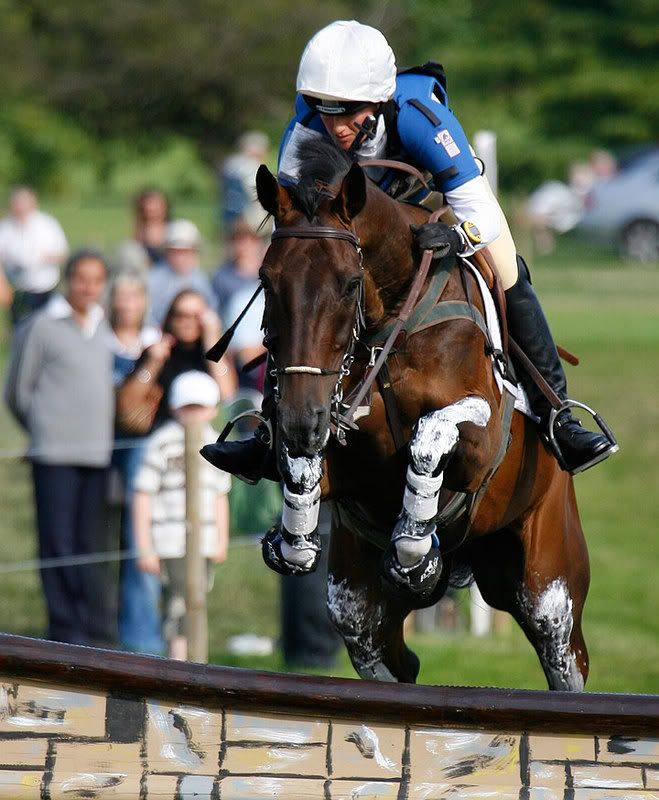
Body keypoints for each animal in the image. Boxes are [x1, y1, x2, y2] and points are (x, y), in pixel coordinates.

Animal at [254, 138, 589, 691]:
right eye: (266, 280)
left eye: (350, 284)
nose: (304, 419)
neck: (390, 323)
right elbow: (302, 469)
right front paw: (296, 537)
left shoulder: (480, 444)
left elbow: (431, 435)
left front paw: (414, 546)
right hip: (359, 609)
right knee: (393, 657)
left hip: (550, 587)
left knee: (562, 654)